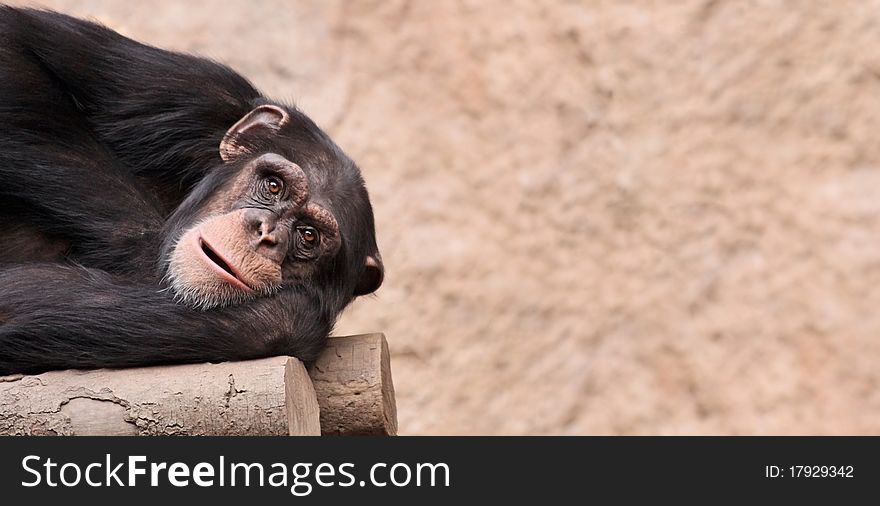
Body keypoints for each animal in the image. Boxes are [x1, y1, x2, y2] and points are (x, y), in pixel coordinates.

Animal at [0, 5, 382, 374]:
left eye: (308, 236)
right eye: (274, 186)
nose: (266, 234)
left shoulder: (287, 320)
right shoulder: (197, 90)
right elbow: (14, 43)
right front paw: (146, 248)